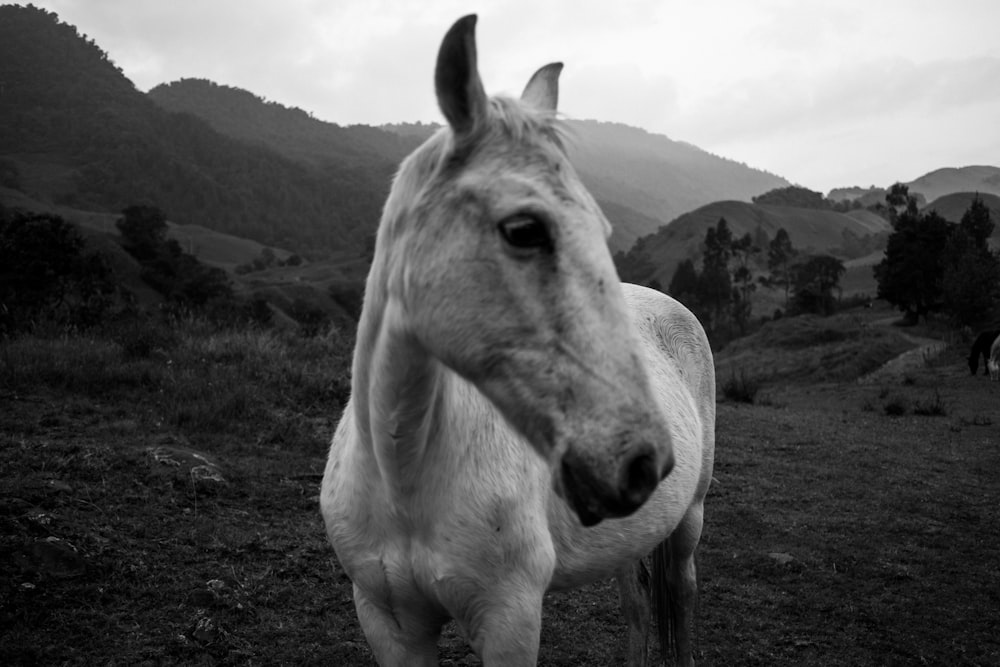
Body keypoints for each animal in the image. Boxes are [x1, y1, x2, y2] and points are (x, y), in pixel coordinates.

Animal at [320, 14, 712, 664]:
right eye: (525, 229)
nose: (643, 461)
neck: (405, 474)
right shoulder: (387, 621)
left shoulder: (510, 620)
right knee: (638, 608)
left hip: (689, 520)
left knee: (678, 601)